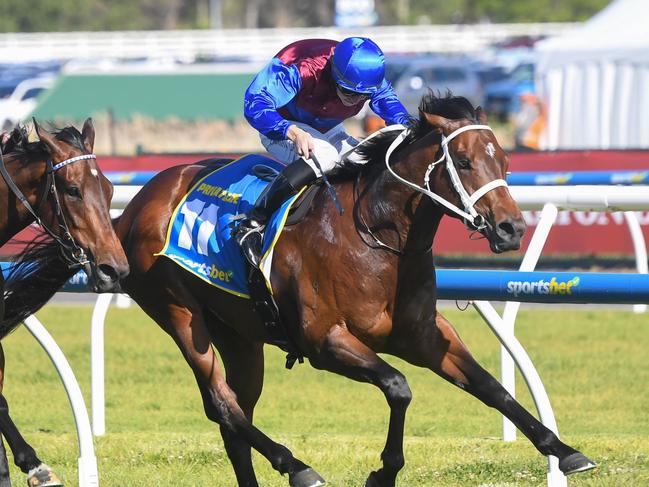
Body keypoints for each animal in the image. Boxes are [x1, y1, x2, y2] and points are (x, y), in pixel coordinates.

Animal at [115, 93, 592, 486]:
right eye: (464, 160)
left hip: (238, 334)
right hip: (179, 312)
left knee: (235, 414)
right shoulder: (325, 341)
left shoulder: (425, 336)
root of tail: (133, 207)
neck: (375, 237)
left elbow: (491, 387)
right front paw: (384, 471)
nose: (512, 229)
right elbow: (399, 386)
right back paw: (298, 467)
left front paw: (564, 450)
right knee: (222, 403)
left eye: (505, 161)